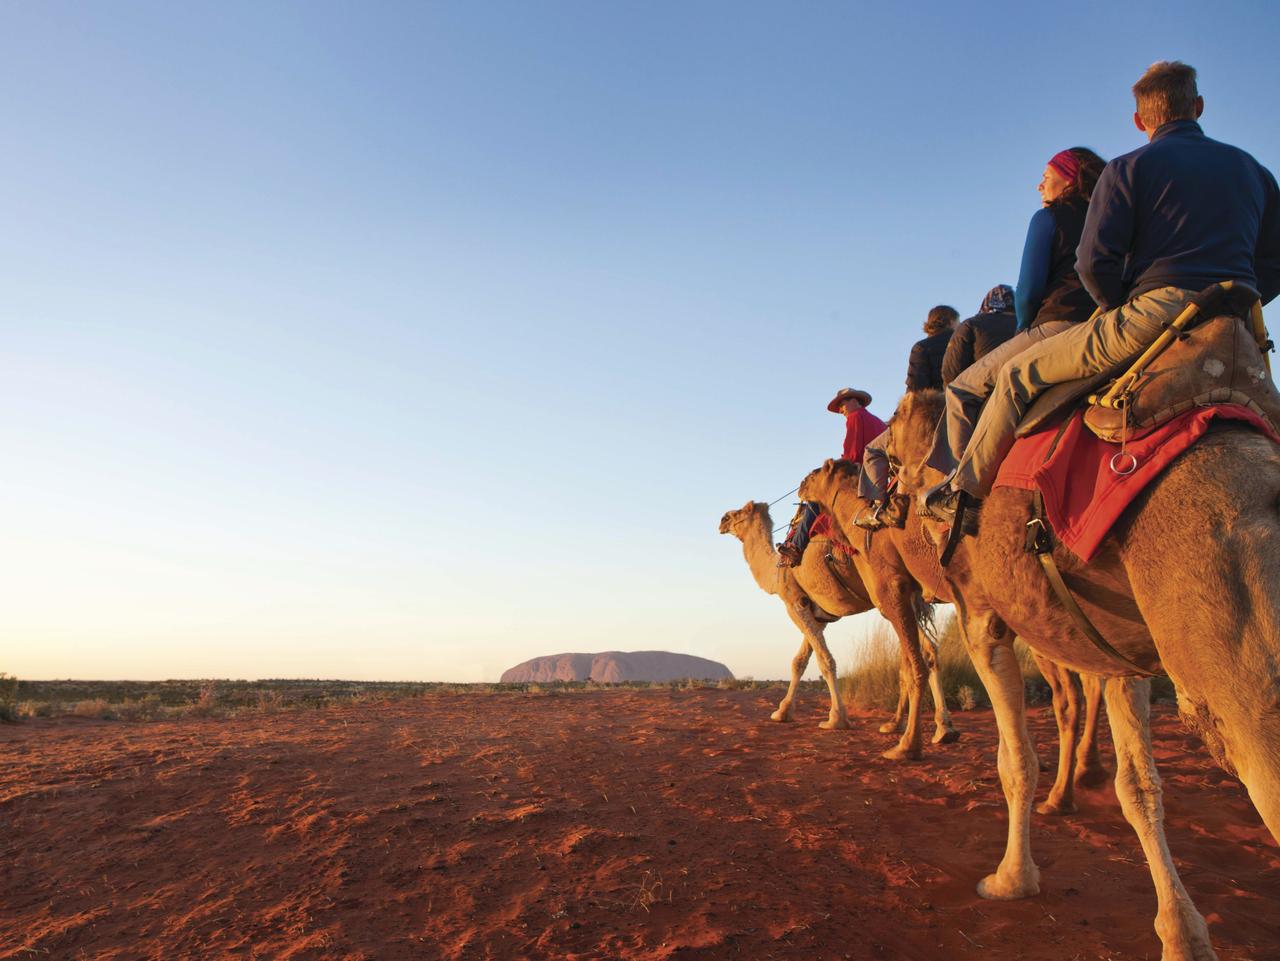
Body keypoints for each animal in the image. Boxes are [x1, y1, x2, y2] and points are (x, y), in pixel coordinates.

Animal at [721, 499, 962, 757]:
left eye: (738, 513)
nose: (722, 520)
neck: (776, 570)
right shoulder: (821, 615)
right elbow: (801, 661)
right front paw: (782, 712)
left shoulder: (794, 603)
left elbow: (824, 660)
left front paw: (836, 719)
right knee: (928, 651)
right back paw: (938, 728)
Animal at [875, 389, 1280, 961]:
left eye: (892, 447)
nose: (884, 504)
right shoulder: (1119, 653)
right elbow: (1138, 784)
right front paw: (1182, 935)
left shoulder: (983, 619)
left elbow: (1015, 762)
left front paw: (1011, 879)